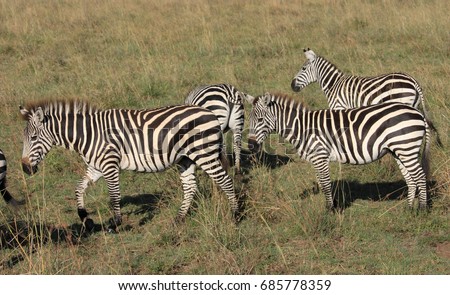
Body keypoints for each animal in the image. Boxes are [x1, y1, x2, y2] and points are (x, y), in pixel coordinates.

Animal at [20, 100, 239, 232]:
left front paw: (115, 224)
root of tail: (210, 113)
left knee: (226, 181)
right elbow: (78, 188)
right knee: (191, 187)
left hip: (203, 154)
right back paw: (178, 219)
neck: (88, 135)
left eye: (33, 138)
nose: (25, 169)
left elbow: (114, 195)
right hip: (186, 159)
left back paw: (235, 215)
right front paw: (86, 219)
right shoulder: (96, 167)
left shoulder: (109, 164)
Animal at [248, 93, 430, 212]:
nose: (250, 146)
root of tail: (418, 113)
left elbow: (326, 184)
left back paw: (422, 210)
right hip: (400, 151)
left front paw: (330, 210)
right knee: (410, 178)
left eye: (260, 120)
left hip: (406, 148)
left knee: (420, 176)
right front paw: (330, 206)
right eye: (249, 121)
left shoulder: (320, 156)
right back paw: (409, 208)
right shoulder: (316, 159)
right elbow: (322, 183)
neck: (302, 128)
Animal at [290, 48, 442, 146]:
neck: (334, 84)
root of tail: (413, 80)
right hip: (413, 105)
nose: (292, 85)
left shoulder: (339, 107)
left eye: (303, 69)